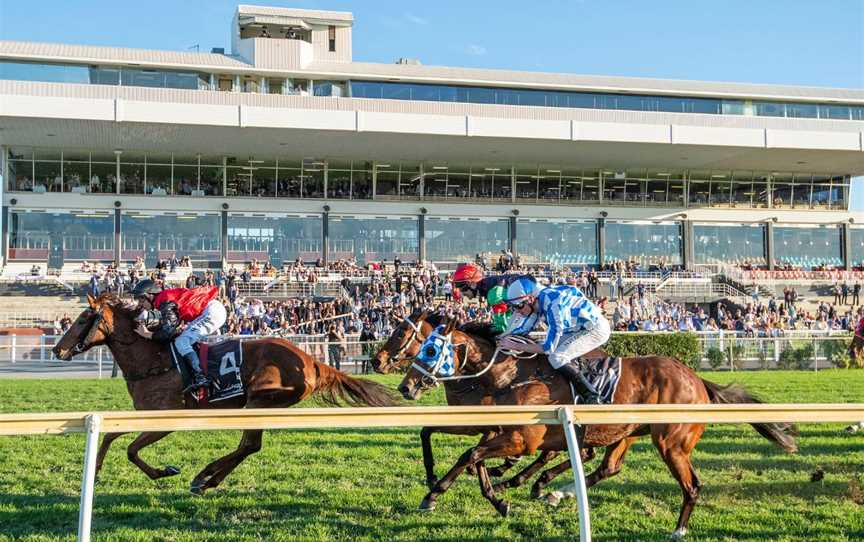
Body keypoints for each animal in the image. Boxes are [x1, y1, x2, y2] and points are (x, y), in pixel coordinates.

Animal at [50, 296, 394, 496]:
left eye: (82, 320)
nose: (57, 349)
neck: (153, 361)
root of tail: (311, 361)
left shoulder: (167, 419)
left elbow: (132, 451)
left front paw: (165, 471)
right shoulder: (144, 414)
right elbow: (110, 437)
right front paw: (94, 472)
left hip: (258, 400)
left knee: (249, 445)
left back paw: (204, 477)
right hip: (259, 405)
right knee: (248, 446)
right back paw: (207, 478)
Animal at [398, 324, 796, 540]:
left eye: (430, 348)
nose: (406, 386)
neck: (510, 374)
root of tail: (697, 379)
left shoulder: (521, 439)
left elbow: (473, 455)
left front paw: (480, 496)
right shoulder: (494, 426)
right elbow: (458, 448)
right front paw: (446, 490)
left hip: (670, 442)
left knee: (691, 484)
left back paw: (678, 529)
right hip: (627, 433)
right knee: (608, 467)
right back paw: (554, 492)